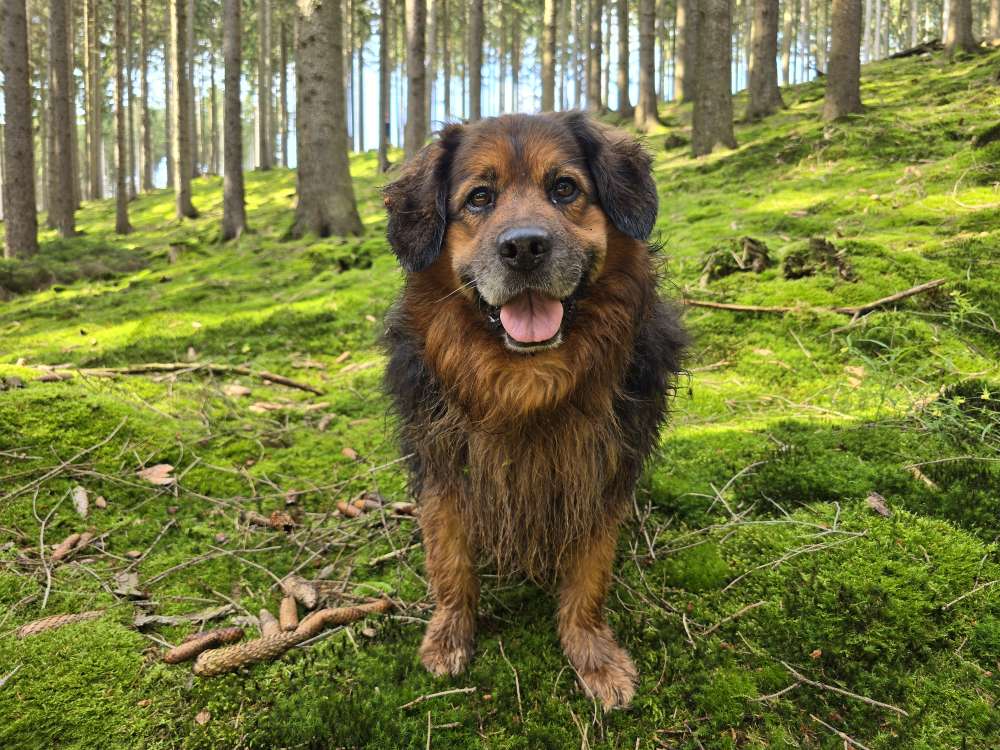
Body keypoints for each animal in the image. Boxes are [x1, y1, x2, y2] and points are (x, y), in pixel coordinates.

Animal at [382, 113, 688, 712]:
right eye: (479, 198)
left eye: (564, 189)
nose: (524, 247)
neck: (527, 379)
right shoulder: (443, 467)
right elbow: (450, 560)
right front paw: (449, 636)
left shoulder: (601, 471)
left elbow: (590, 573)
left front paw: (593, 656)